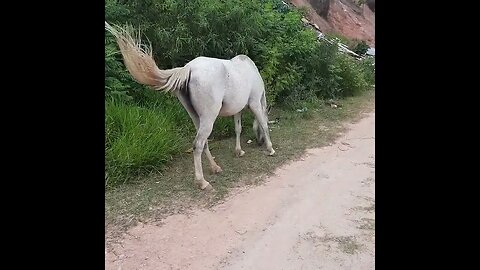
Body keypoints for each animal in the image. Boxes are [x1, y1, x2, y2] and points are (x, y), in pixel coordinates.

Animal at [106, 22, 276, 190]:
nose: (259, 142)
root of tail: (188, 69)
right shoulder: (255, 103)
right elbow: (263, 123)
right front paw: (270, 148)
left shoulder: (237, 110)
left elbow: (238, 129)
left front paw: (239, 151)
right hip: (208, 118)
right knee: (198, 144)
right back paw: (202, 181)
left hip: (196, 117)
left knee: (203, 143)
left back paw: (215, 168)